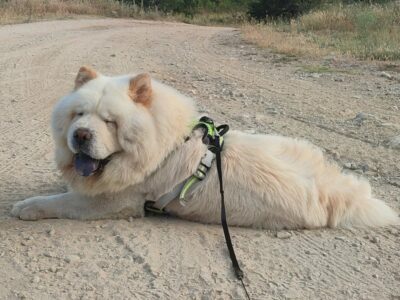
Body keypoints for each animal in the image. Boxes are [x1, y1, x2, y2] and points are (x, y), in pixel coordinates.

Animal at [10, 67, 398, 229]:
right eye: (79, 115)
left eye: (110, 122)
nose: (80, 136)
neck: (161, 146)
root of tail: (332, 193)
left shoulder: (112, 202)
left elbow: (60, 201)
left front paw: (26, 207)